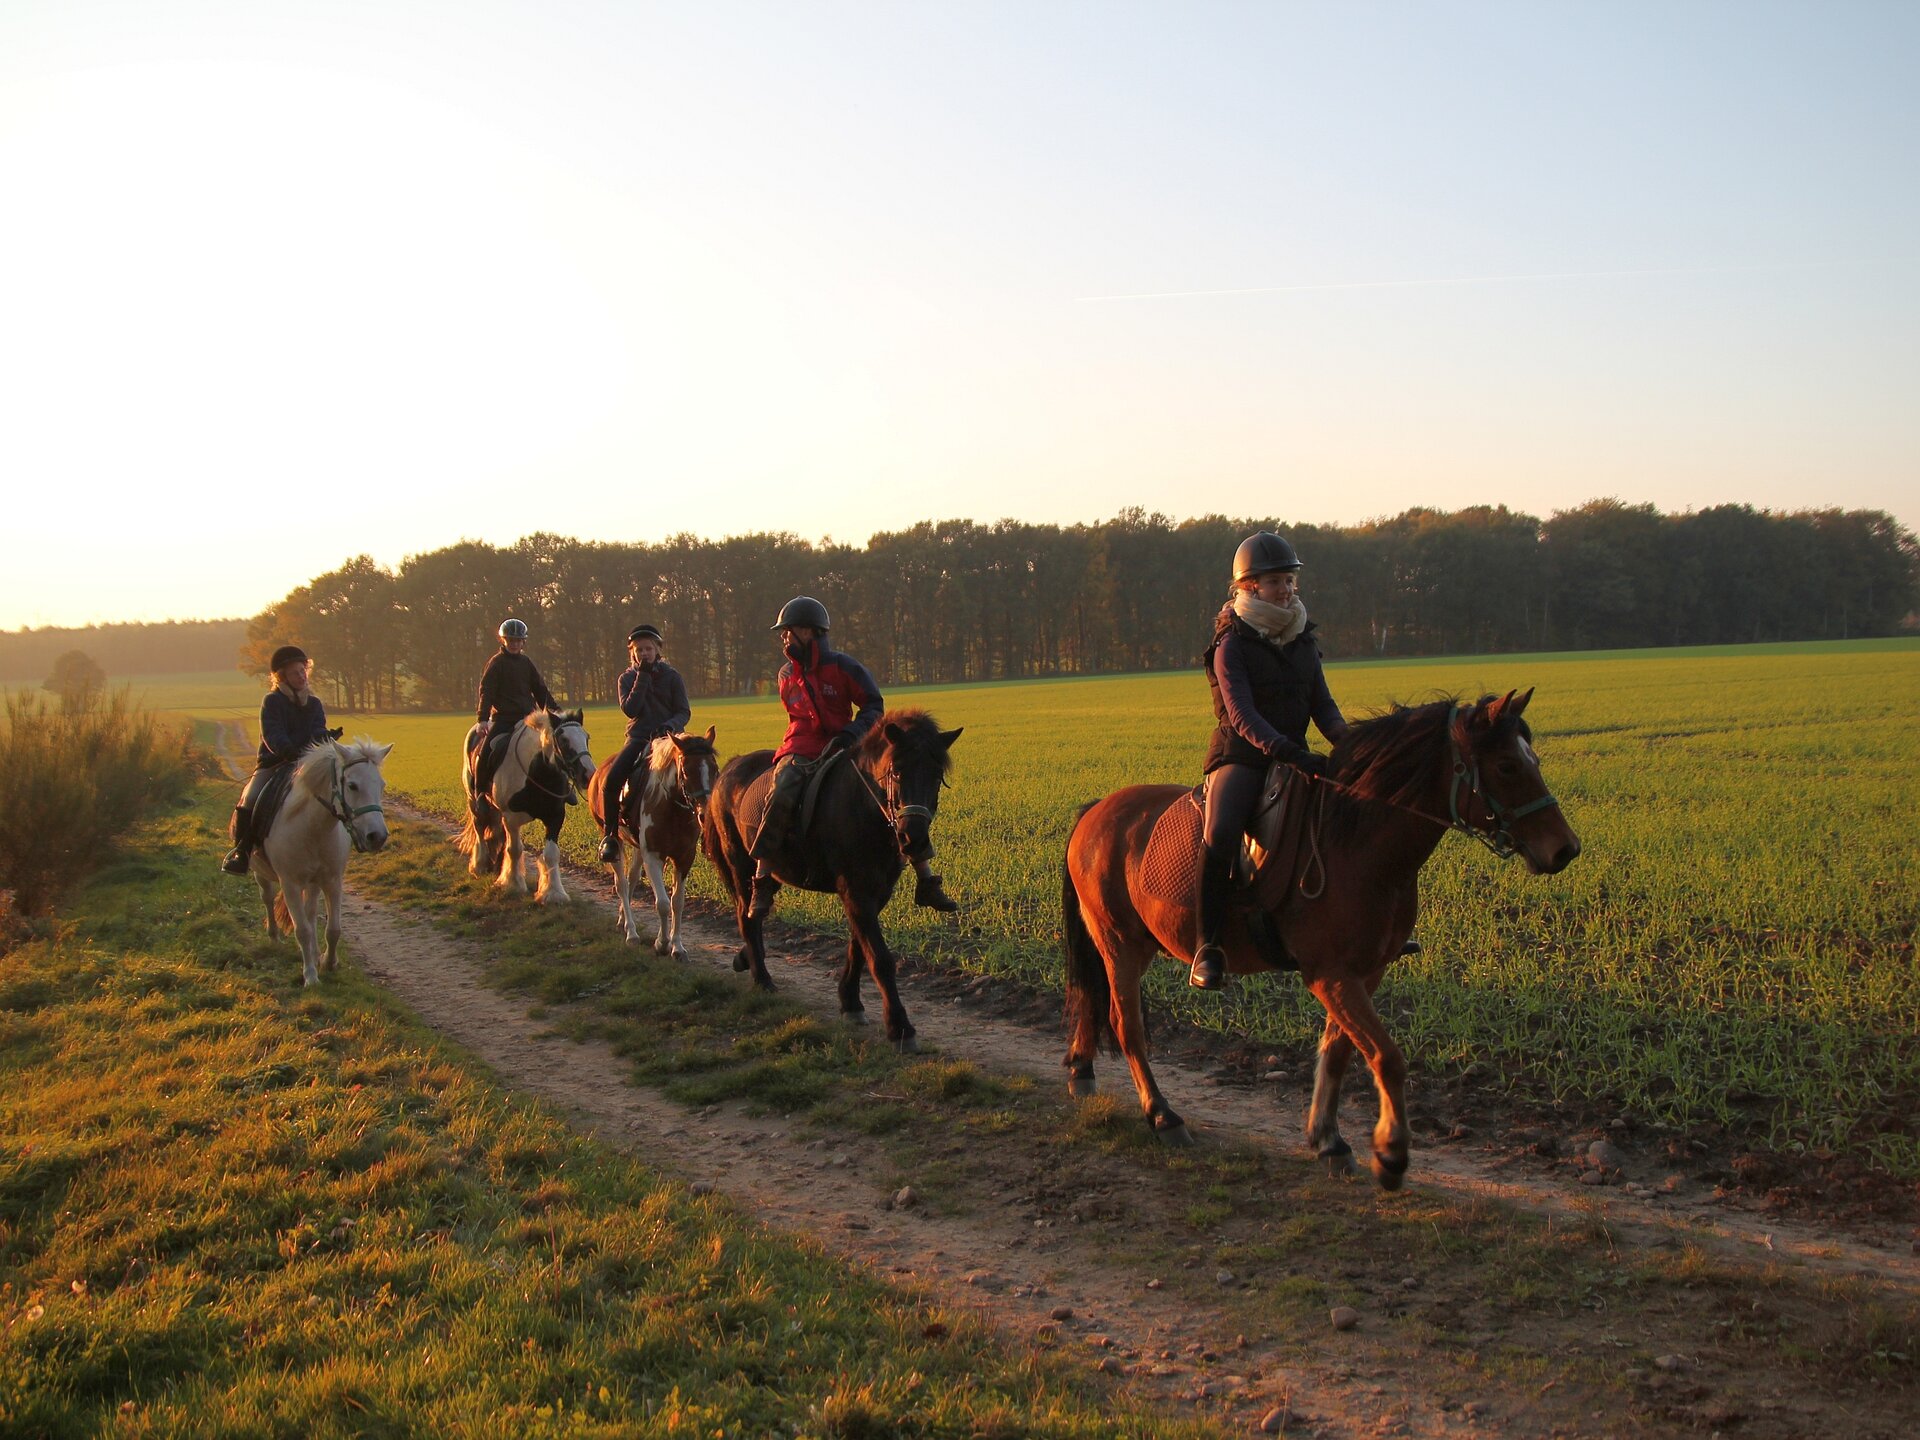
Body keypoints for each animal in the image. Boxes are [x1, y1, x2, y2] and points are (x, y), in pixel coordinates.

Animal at [251, 737, 393, 990]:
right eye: (352, 785)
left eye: (382, 785)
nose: (377, 837)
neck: (314, 828)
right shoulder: (290, 884)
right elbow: (302, 931)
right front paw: (310, 976)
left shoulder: (332, 881)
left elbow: (333, 929)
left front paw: (328, 962)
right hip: (261, 874)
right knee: (267, 898)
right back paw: (274, 936)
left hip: (313, 883)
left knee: (310, 911)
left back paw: (315, 953)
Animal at [456, 710, 591, 902]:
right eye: (564, 741)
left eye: (586, 738)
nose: (589, 774)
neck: (536, 772)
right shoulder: (511, 818)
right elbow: (514, 849)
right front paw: (513, 884)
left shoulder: (555, 816)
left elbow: (551, 854)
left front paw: (554, 893)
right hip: (474, 802)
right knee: (480, 828)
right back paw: (479, 865)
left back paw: (496, 867)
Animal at [583, 733, 721, 960]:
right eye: (686, 771)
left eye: (714, 768)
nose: (705, 815)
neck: (671, 808)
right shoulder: (653, 856)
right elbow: (662, 903)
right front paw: (662, 944)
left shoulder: (684, 858)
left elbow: (677, 902)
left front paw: (677, 947)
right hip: (615, 840)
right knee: (621, 883)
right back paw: (631, 933)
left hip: (638, 847)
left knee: (631, 879)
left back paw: (623, 920)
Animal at [702, 710, 960, 1052]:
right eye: (897, 771)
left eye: (936, 774)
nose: (914, 840)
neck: (863, 806)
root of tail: (728, 771)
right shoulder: (855, 891)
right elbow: (879, 957)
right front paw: (900, 1028)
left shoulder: (876, 893)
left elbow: (859, 948)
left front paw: (850, 1003)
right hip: (738, 866)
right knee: (747, 918)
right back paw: (762, 978)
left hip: (771, 873)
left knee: (757, 908)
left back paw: (745, 959)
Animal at [1067, 695, 1574, 1190]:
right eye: (1507, 766)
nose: (1566, 849)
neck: (1356, 840)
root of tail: (1097, 810)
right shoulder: (1330, 976)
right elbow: (1387, 1057)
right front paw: (1391, 1154)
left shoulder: (1365, 973)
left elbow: (1339, 1052)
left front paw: (1329, 1141)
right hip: (1119, 942)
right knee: (1127, 1024)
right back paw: (1163, 1116)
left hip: (1133, 945)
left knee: (1096, 1000)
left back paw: (1080, 1070)